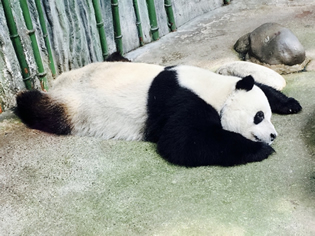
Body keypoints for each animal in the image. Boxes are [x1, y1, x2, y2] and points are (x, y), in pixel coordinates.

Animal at [16, 61, 302, 167]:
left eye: (267, 115)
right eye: (258, 117)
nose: (273, 135)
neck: (215, 91)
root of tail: (57, 83)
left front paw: (290, 104)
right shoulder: (183, 102)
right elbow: (183, 143)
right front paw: (261, 150)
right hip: (72, 107)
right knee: (40, 110)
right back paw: (20, 101)